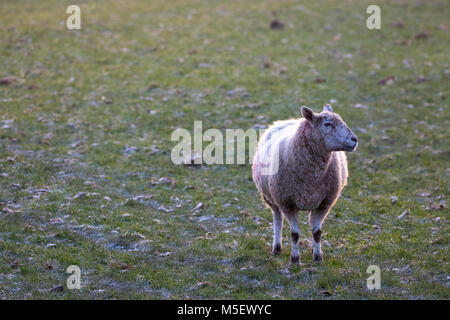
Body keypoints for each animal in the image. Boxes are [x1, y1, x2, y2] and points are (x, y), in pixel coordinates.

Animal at [251, 104, 356, 264]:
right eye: (327, 124)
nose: (354, 139)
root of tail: (289, 120)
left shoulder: (324, 203)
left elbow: (317, 232)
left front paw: (318, 257)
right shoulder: (287, 203)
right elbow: (294, 234)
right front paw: (295, 259)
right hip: (271, 199)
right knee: (278, 220)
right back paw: (277, 248)